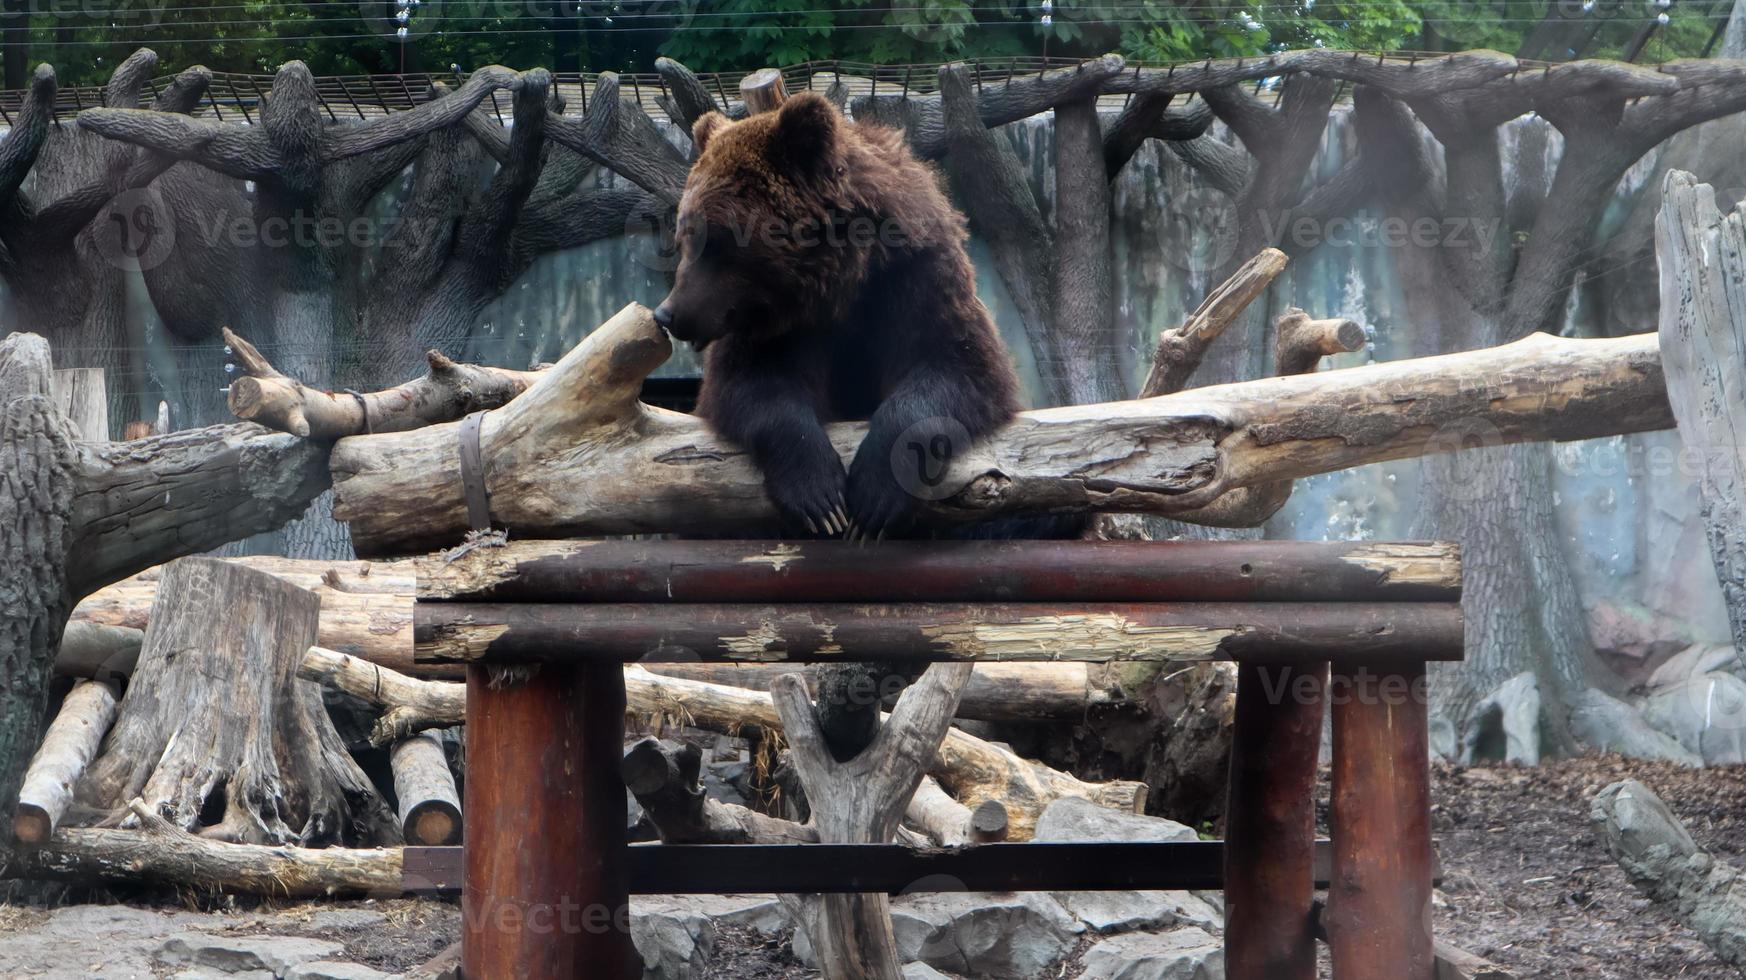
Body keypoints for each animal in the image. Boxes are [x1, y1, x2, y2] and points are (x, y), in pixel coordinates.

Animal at [656, 89, 1019, 534]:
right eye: (684, 236)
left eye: (713, 242)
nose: (668, 314)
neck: (838, 284)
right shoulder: (778, 329)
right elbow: (751, 386)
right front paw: (821, 499)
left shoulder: (913, 280)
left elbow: (957, 366)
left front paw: (874, 498)